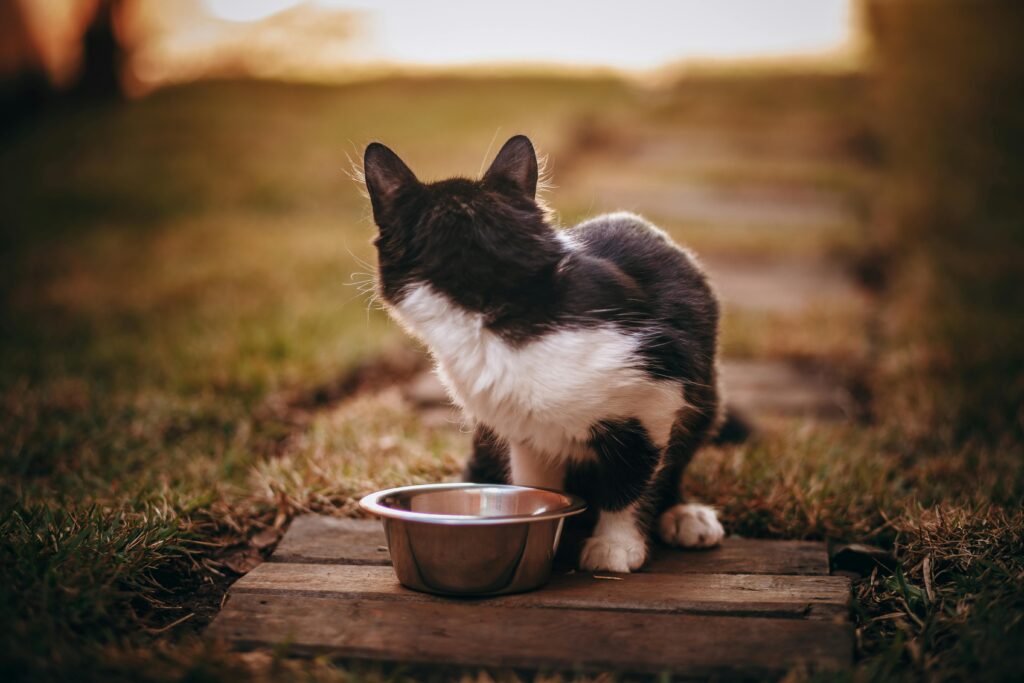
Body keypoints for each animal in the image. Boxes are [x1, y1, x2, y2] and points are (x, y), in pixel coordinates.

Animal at [362, 135, 729, 573]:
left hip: (705, 394)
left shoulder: (656, 394)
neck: (501, 303)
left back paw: (684, 515)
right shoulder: (521, 424)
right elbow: (534, 483)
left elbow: (631, 476)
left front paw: (615, 543)